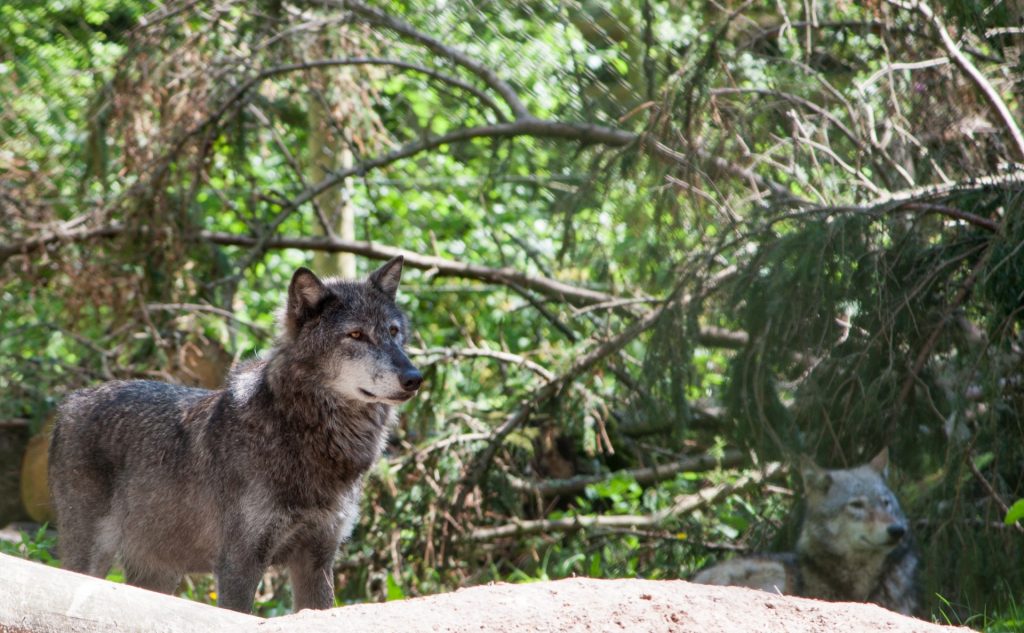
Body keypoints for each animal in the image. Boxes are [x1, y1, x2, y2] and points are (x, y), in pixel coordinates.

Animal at [48, 256, 422, 613]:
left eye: (394, 332)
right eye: (356, 335)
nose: (414, 378)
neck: (298, 431)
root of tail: (69, 403)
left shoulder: (317, 561)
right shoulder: (239, 563)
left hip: (158, 572)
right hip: (91, 558)